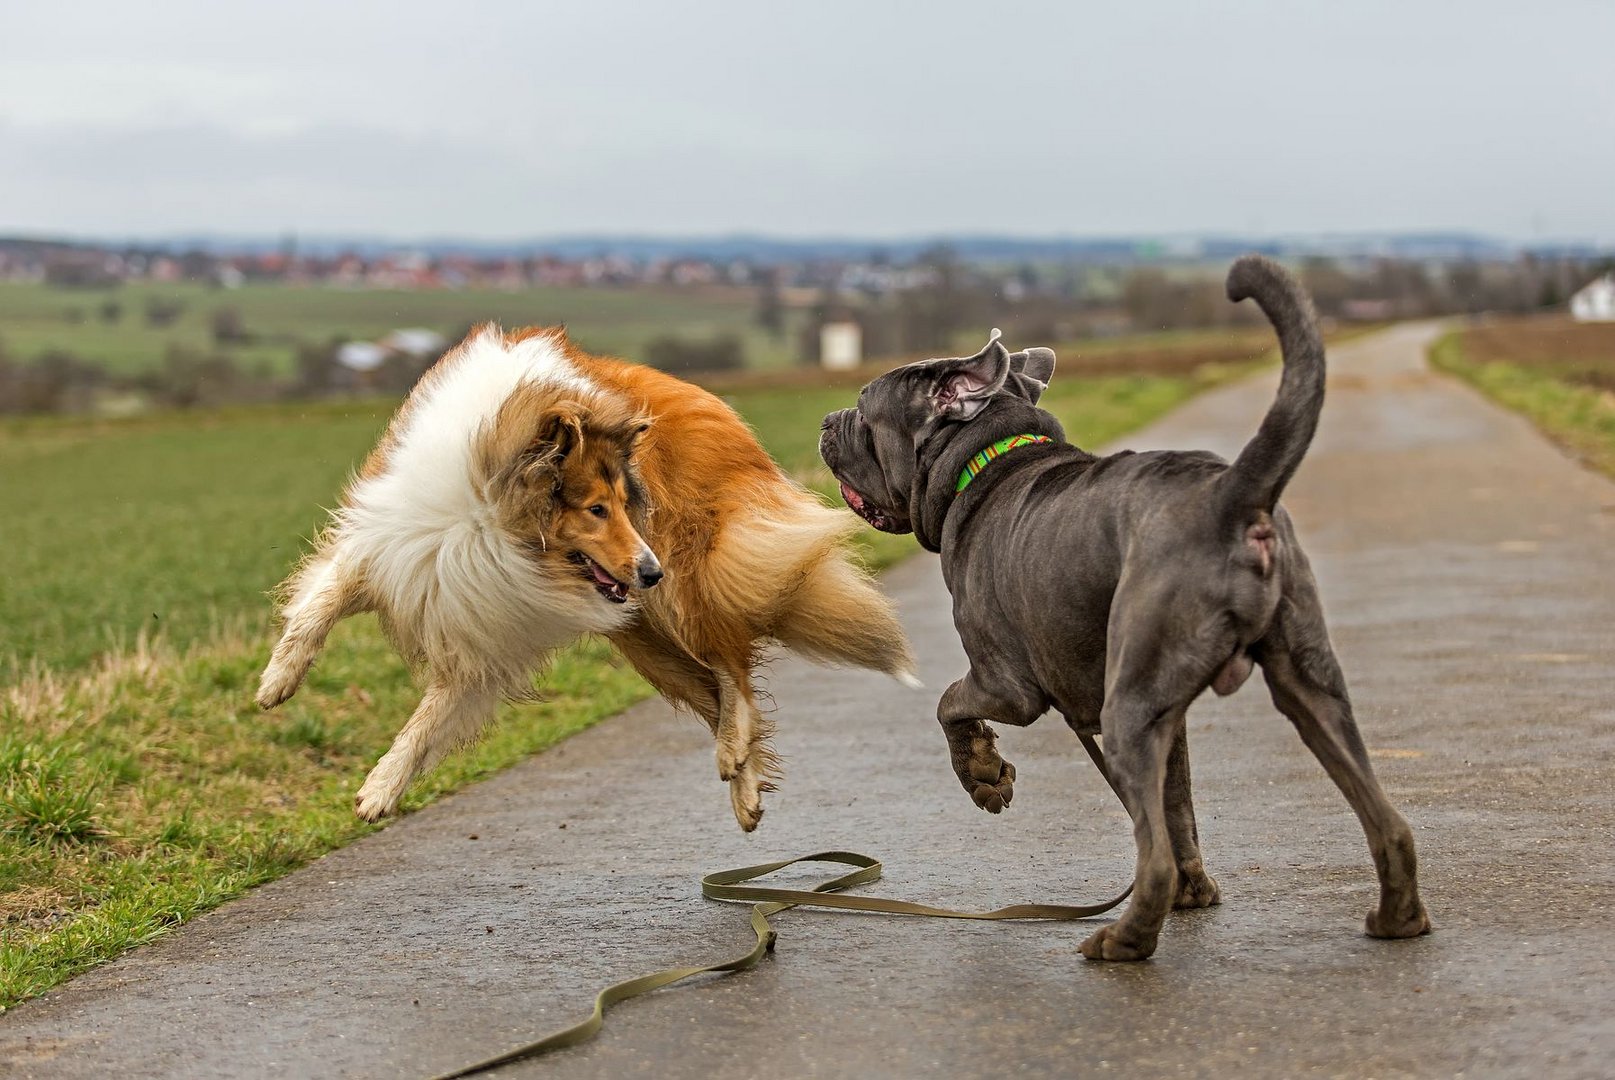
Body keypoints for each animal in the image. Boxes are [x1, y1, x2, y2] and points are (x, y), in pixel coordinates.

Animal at [256, 324, 917, 833]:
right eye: (597, 509)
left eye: (627, 503)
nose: (650, 571)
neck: (490, 514)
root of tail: (724, 415)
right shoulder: (409, 556)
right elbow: (322, 606)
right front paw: (277, 682)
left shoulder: (490, 622)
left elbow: (428, 719)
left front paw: (378, 789)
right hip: (638, 631)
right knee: (714, 687)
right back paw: (745, 780)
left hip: (685, 596)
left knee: (734, 673)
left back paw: (737, 758)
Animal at [826, 255, 1434, 962]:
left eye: (863, 412)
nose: (825, 422)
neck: (985, 459)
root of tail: (1231, 493)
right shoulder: (1162, 718)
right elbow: (1177, 807)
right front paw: (1199, 891)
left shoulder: (1007, 684)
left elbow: (949, 703)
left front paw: (985, 776)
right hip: (1307, 684)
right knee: (1385, 817)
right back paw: (1397, 918)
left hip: (1128, 709)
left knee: (1155, 860)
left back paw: (1123, 939)